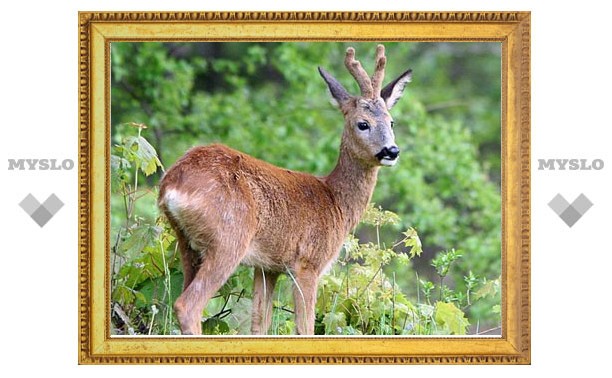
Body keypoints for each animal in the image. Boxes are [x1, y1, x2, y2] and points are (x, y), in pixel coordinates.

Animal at [159, 44, 412, 334]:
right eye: (363, 123)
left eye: (391, 122)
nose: (391, 151)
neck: (335, 201)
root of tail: (172, 185)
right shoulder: (307, 263)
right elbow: (305, 327)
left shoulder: (267, 267)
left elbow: (260, 324)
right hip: (228, 238)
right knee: (187, 305)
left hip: (186, 243)